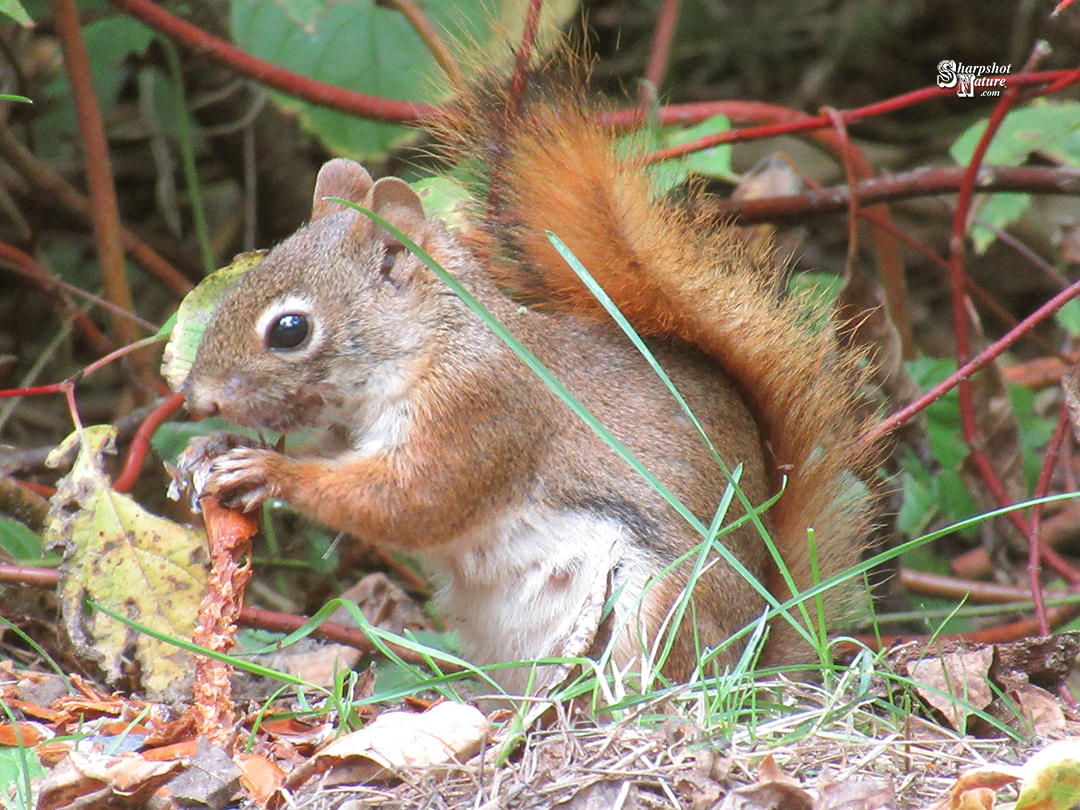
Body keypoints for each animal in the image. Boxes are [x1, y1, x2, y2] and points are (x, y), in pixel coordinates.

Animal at [181, 66, 872, 695]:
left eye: (290, 329)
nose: (196, 398)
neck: (436, 343)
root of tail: (758, 655)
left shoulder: (484, 410)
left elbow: (412, 501)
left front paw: (269, 471)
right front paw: (209, 449)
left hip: (660, 609)